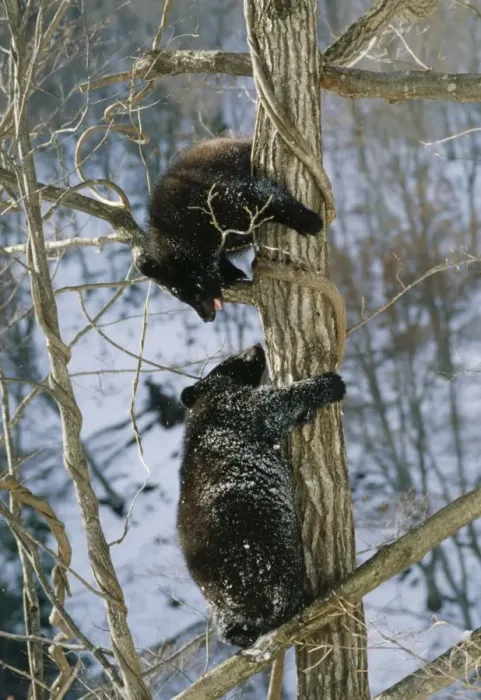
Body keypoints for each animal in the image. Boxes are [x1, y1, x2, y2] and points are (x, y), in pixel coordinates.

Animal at [137, 138, 323, 322]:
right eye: (180, 296)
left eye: (196, 291)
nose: (207, 318)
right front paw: (230, 274)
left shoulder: (224, 196)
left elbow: (266, 196)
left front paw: (311, 222)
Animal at [177, 343, 346, 647]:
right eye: (231, 360)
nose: (256, 346)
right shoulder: (234, 406)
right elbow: (274, 404)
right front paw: (327, 384)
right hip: (263, 551)